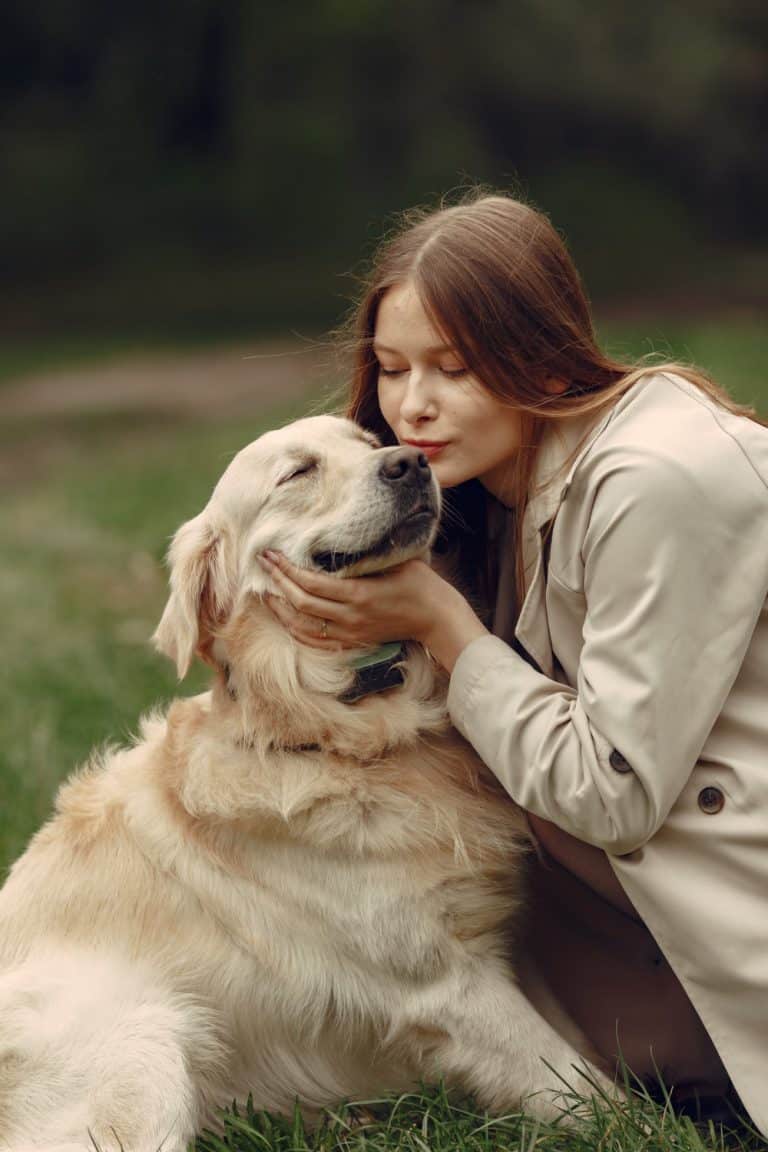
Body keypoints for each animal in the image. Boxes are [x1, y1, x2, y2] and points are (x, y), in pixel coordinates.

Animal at [0, 417, 607, 1152]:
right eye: (298, 473)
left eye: (368, 442)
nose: (409, 462)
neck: (344, 732)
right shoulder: (447, 984)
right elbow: (592, 1091)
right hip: (147, 1052)